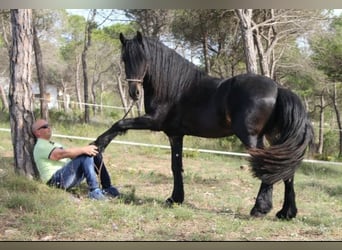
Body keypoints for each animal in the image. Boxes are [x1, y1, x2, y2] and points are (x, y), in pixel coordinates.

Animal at [93, 30, 312, 219]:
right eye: (125, 59)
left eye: (144, 58)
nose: (134, 93)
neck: (174, 87)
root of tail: (278, 88)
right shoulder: (175, 134)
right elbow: (176, 166)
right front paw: (175, 198)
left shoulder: (153, 121)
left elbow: (120, 123)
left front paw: (98, 145)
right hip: (275, 138)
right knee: (285, 170)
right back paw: (286, 212)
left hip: (251, 137)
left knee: (267, 166)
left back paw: (260, 208)